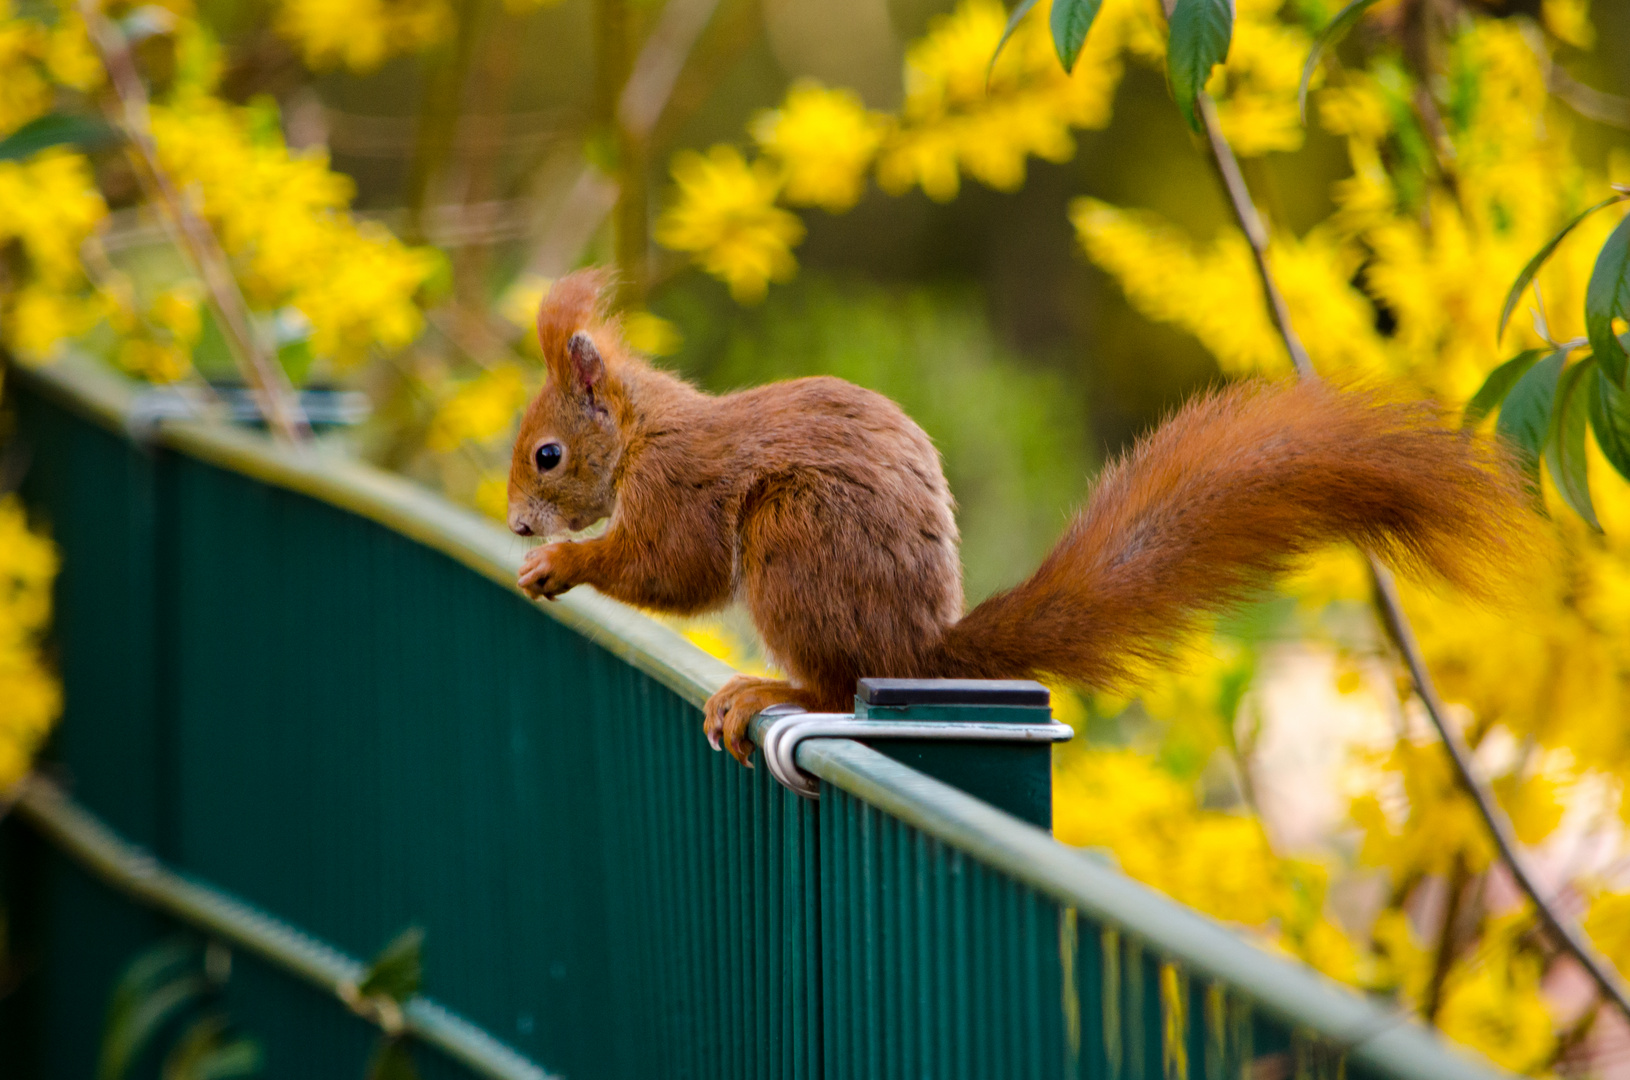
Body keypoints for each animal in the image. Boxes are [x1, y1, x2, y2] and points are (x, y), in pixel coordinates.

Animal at [505, 270, 1525, 765]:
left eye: (548, 454)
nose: (516, 523)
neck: (642, 433)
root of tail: (921, 649)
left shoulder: (682, 487)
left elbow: (670, 568)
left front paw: (565, 564)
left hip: (795, 542)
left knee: (835, 689)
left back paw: (769, 692)